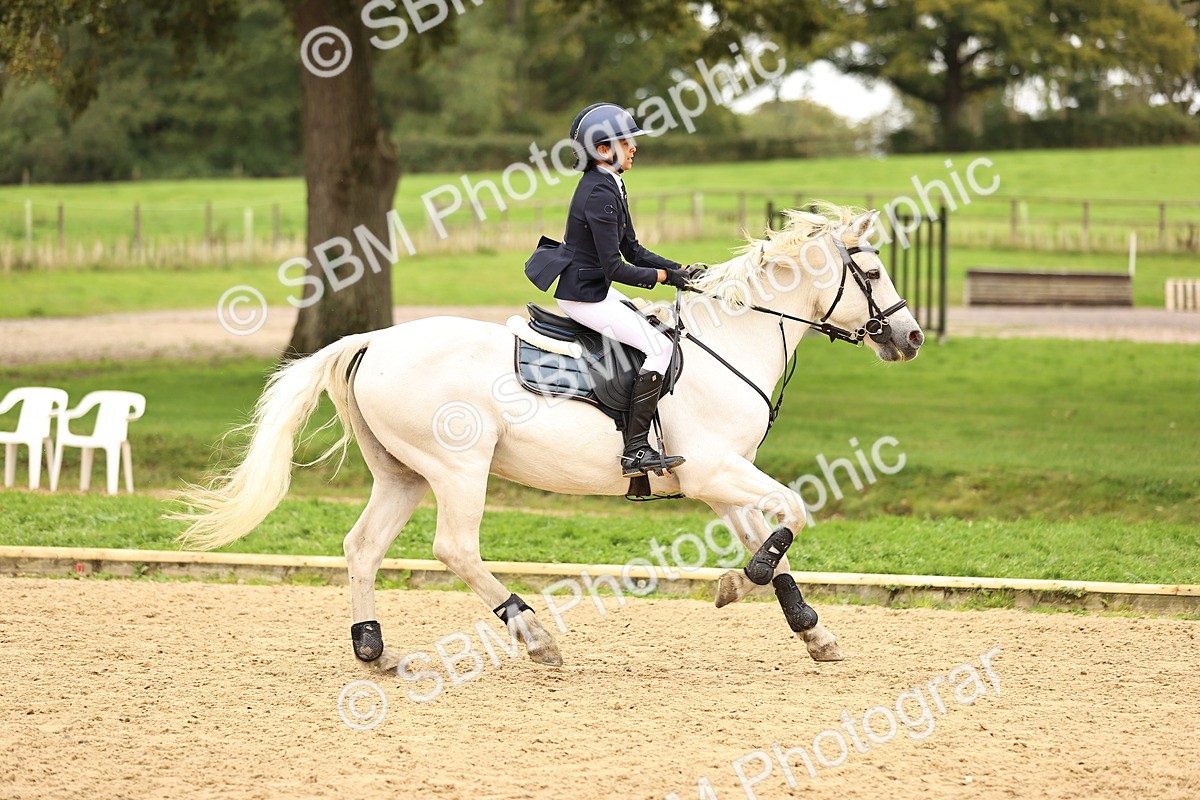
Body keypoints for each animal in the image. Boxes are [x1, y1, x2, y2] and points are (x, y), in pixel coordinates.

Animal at [174, 203, 924, 672]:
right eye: (873, 273)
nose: (912, 337)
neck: (731, 341)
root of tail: (374, 340)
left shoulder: (720, 479)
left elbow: (770, 539)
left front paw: (809, 629)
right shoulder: (713, 469)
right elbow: (795, 511)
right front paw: (742, 585)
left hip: (403, 474)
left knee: (362, 548)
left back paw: (374, 650)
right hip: (458, 470)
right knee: (455, 548)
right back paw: (534, 636)